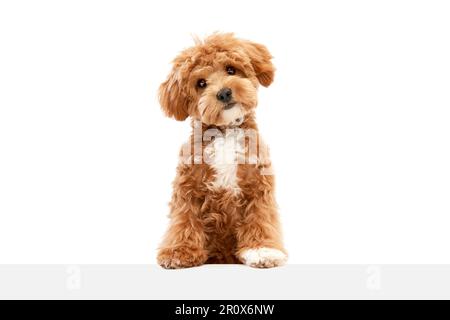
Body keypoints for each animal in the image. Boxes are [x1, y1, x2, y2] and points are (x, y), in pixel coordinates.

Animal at [156, 33, 286, 268]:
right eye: (201, 83)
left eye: (231, 70)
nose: (224, 93)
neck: (226, 132)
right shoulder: (188, 188)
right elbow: (184, 220)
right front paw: (179, 251)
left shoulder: (258, 187)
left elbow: (260, 218)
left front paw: (262, 250)